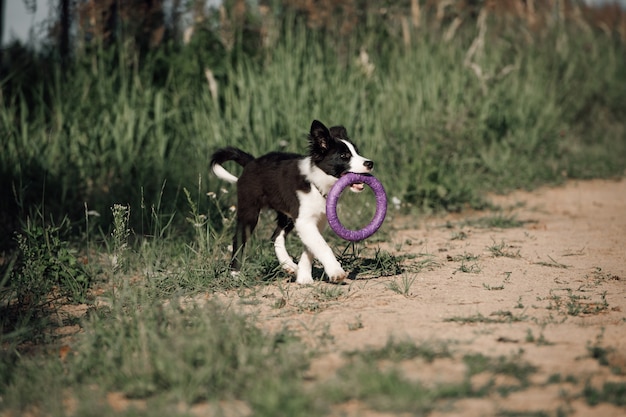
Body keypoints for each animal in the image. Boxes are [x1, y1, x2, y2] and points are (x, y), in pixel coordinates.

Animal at [212, 118, 372, 284]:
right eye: (344, 156)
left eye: (357, 152)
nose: (370, 163)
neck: (316, 183)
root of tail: (252, 162)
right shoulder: (304, 220)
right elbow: (321, 245)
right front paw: (335, 271)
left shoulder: (316, 220)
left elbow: (310, 248)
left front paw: (304, 277)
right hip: (249, 210)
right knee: (239, 238)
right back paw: (235, 273)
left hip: (286, 215)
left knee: (275, 236)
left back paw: (289, 265)